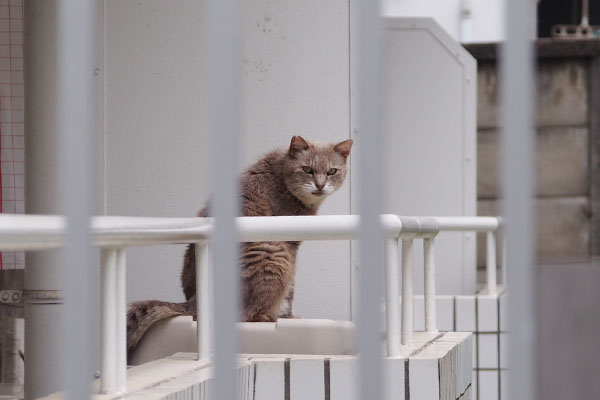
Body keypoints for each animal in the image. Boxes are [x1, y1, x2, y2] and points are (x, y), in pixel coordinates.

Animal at [126, 136, 352, 354]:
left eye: (332, 171)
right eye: (307, 169)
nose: (320, 185)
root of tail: (196, 300)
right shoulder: (290, 246)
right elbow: (291, 289)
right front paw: (289, 317)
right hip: (274, 252)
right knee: (246, 315)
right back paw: (268, 317)